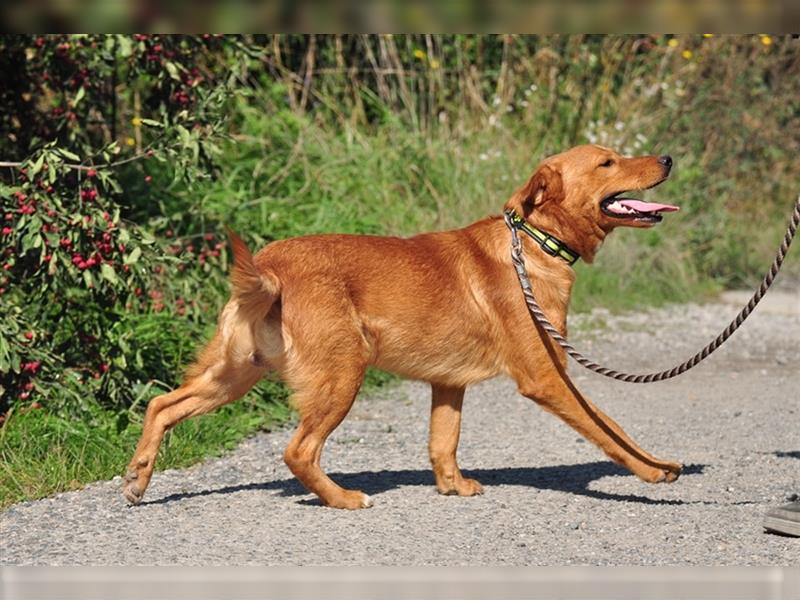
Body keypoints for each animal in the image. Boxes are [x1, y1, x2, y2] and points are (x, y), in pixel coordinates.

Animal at [123, 144, 680, 506]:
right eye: (608, 162)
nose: (669, 159)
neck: (533, 243)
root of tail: (271, 267)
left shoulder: (448, 384)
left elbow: (443, 442)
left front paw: (453, 486)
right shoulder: (546, 377)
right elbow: (607, 428)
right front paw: (652, 471)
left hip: (235, 373)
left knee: (162, 404)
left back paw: (138, 477)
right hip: (342, 373)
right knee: (298, 451)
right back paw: (344, 499)